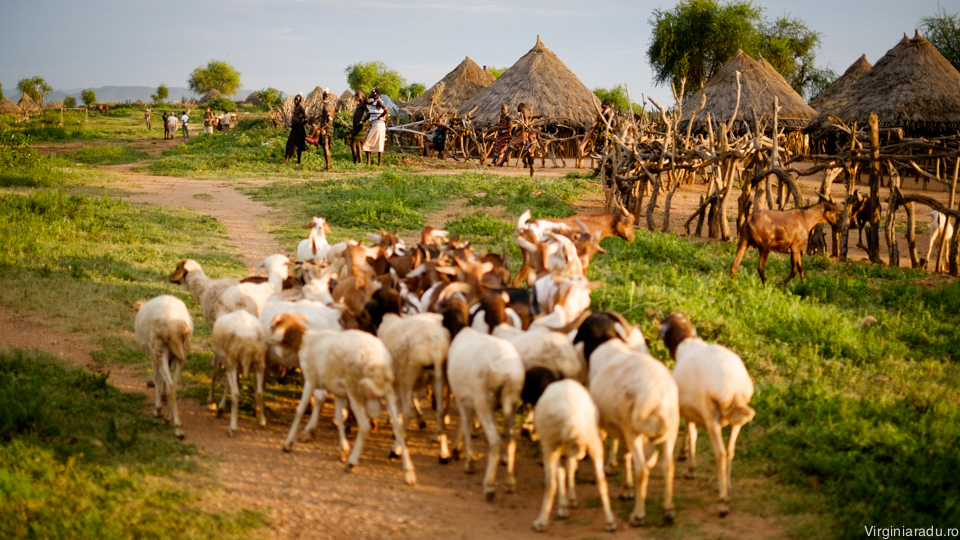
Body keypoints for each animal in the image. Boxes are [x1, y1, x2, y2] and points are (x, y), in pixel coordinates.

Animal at [135, 296, 193, 438]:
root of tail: (174, 329)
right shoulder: (170, 357)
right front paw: (163, 397)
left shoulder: (153, 354)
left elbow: (156, 378)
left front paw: (158, 408)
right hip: (181, 353)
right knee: (174, 384)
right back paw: (169, 416)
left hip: (159, 349)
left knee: (170, 384)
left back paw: (177, 427)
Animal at [268, 312, 414, 486]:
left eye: (274, 325)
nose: (267, 341)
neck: (305, 341)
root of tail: (378, 361)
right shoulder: (338, 391)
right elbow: (339, 418)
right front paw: (343, 449)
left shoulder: (311, 380)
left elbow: (300, 410)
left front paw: (288, 443)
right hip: (388, 392)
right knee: (398, 427)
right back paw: (408, 472)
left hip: (355, 390)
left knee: (364, 426)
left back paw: (352, 462)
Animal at [442, 298, 524, 500]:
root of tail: (506, 372)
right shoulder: (468, 399)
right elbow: (466, 425)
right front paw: (458, 450)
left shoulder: (462, 399)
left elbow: (465, 425)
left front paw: (467, 461)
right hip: (510, 400)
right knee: (510, 439)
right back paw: (509, 483)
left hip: (484, 402)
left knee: (495, 440)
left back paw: (489, 486)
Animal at [532, 380, 616, 532]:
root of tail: (571, 420)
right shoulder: (569, 448)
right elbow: (569, 467)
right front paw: (569, 500)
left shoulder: (553, 445)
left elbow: (561, 471)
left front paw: (564, 506)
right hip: (594, 441)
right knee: (601, 481)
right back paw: (610, 522)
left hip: (550, 443)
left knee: (551, 483)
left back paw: (541, 522)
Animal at [660, 314, 756, 516]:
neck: (687, 342)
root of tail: (734, 388)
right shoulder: (692, 409)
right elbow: (691, 431)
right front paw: (684, 455)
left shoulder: (687, 407)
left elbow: (691, 432)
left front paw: (689, 467)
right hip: (736, 420)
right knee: (730, 451)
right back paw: (728, 486)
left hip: (711, 416)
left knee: (720, 453)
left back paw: (723, 502)